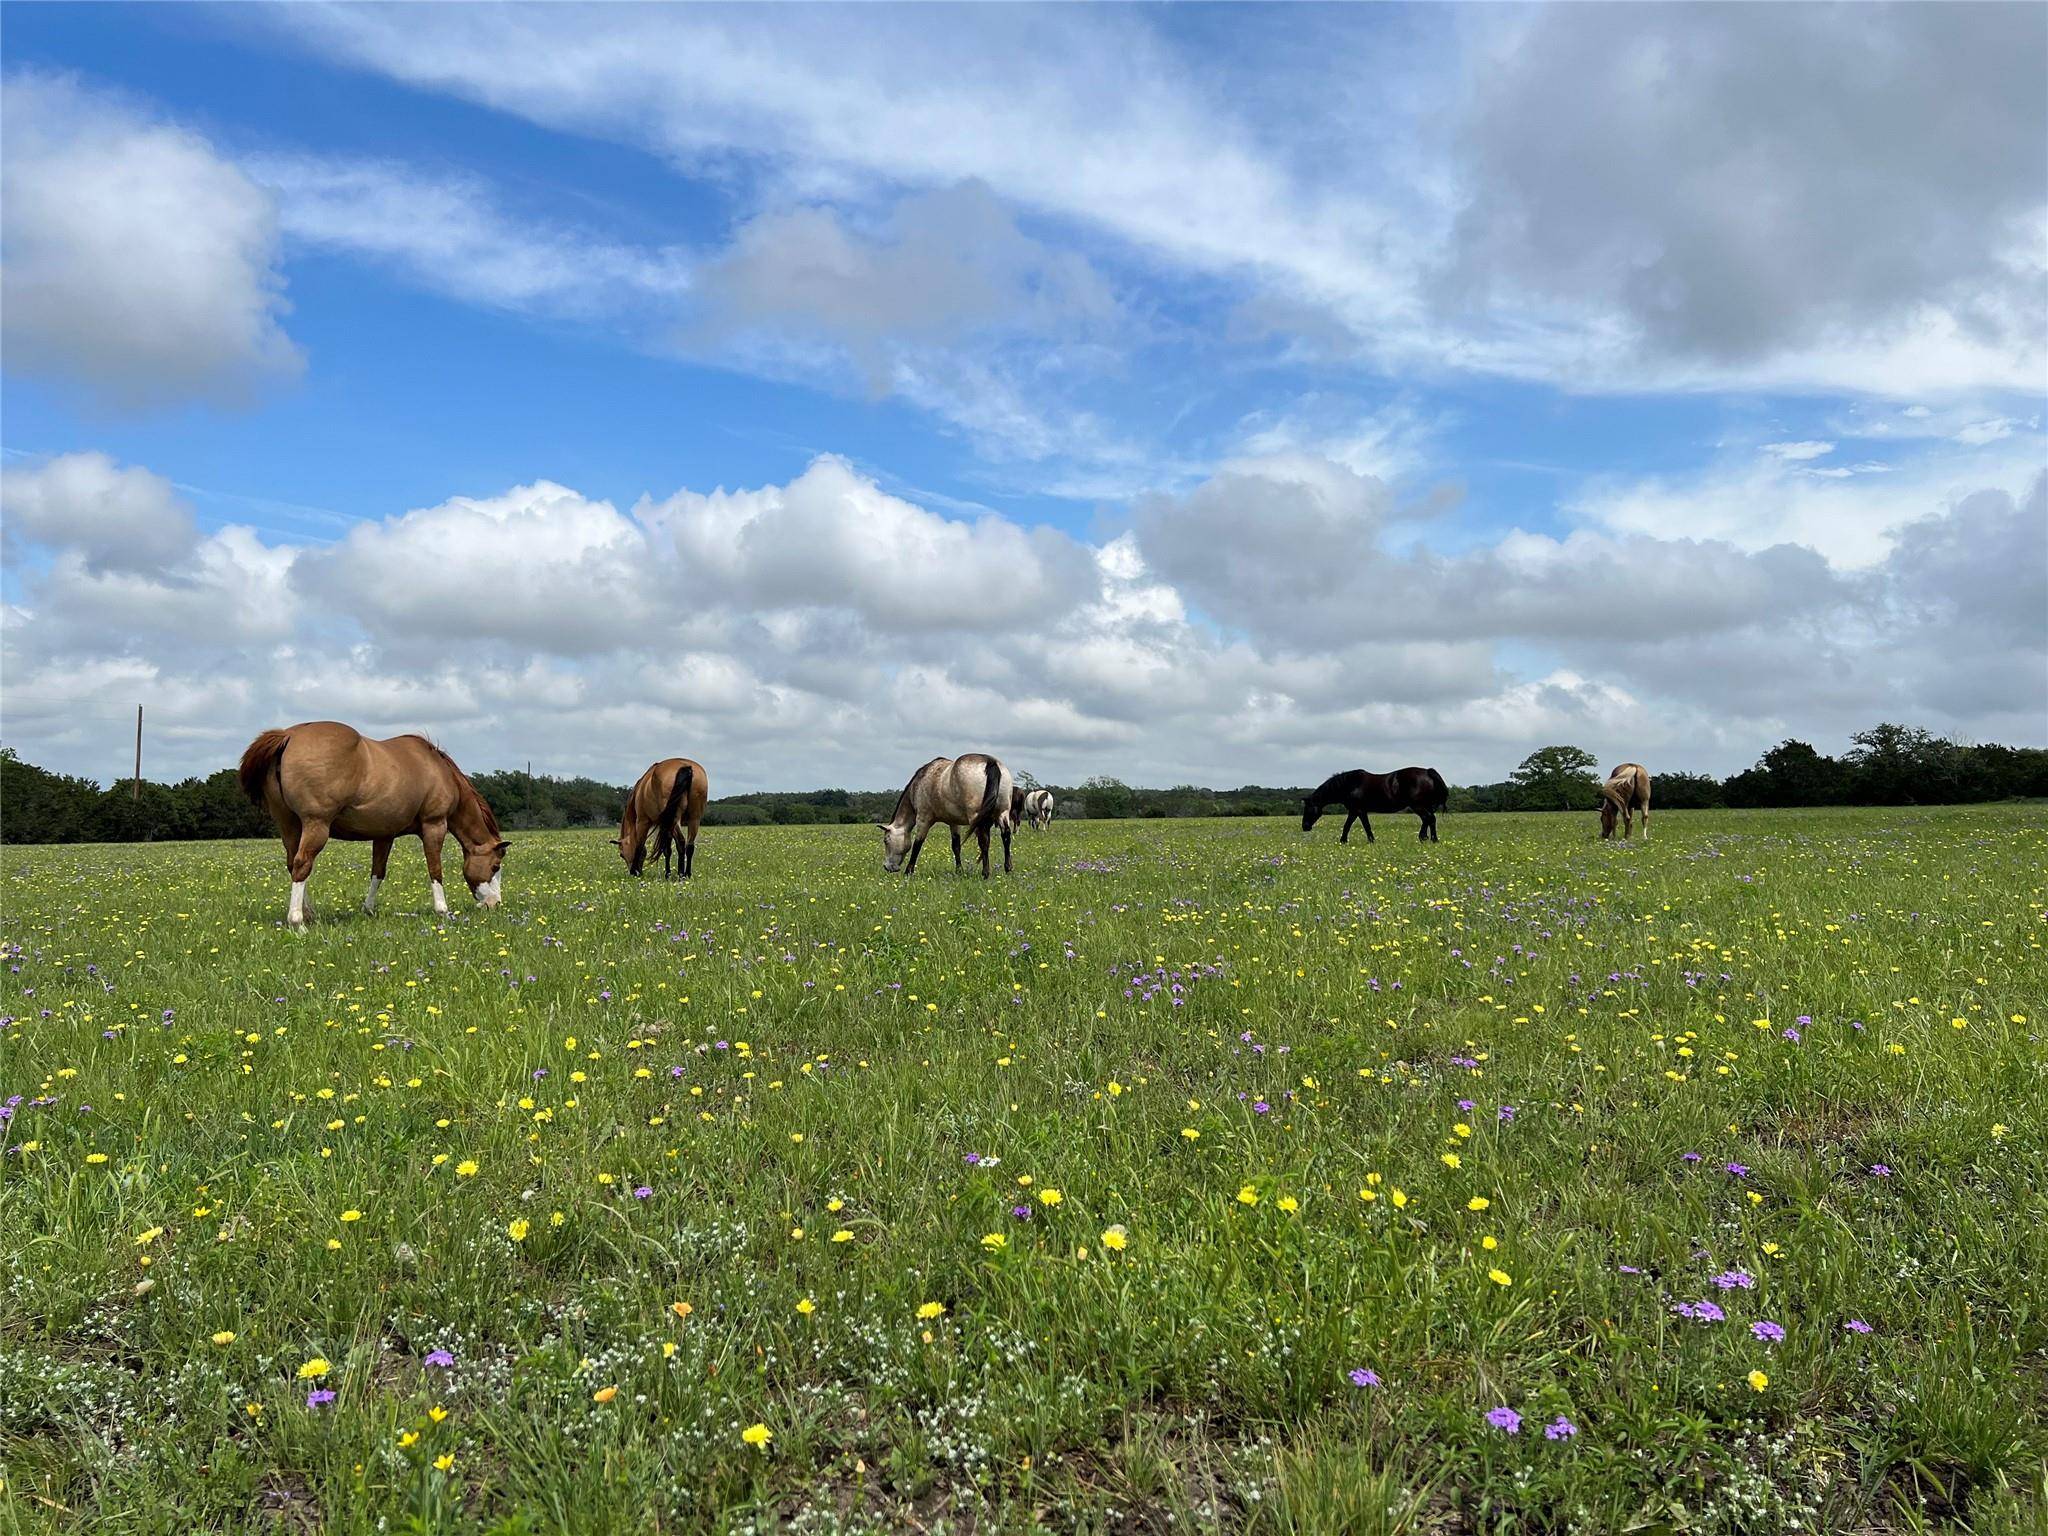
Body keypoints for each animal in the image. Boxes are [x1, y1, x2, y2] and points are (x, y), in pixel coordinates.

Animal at [237, 720, 509, 925]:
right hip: (316, 826)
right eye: (495, 866)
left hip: (289, 826)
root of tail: (289, 736)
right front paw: (442, 910)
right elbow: (435, 869)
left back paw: (307, 914)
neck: (436, 769)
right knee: (302, 864)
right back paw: (297, 922)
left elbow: (378, 872)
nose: (494, 904)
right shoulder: (434, 825)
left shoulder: (384, 835)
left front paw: (368, 909)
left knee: (293, 865)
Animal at [880, 753, 1015, 876]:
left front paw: (908, 871)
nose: (887, 867)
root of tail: (990, 762)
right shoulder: (953, 822)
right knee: (1006, 836)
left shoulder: (923, 819)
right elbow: (956, 846)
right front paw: (959, 871)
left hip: (977, 817)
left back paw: (985, 873)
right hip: (1002, 813)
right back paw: (1008, 869)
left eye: (886, 840)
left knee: (984, 841)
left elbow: (917, 844)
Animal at [1302, 765, 1449, 843]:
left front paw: (1368, 840)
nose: (1305, 827)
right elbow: (1350, 825)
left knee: (1428, 818)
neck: (1350, 785)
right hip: (1425, 805)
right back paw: (1428, 838)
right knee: (1429, 819)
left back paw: (1429, 839)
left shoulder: (1358, 810)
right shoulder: (1355, 811)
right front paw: (1344, 841)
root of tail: (1427, 772)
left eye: (1308, 809)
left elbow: (1361, 826)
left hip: (1418, 805)